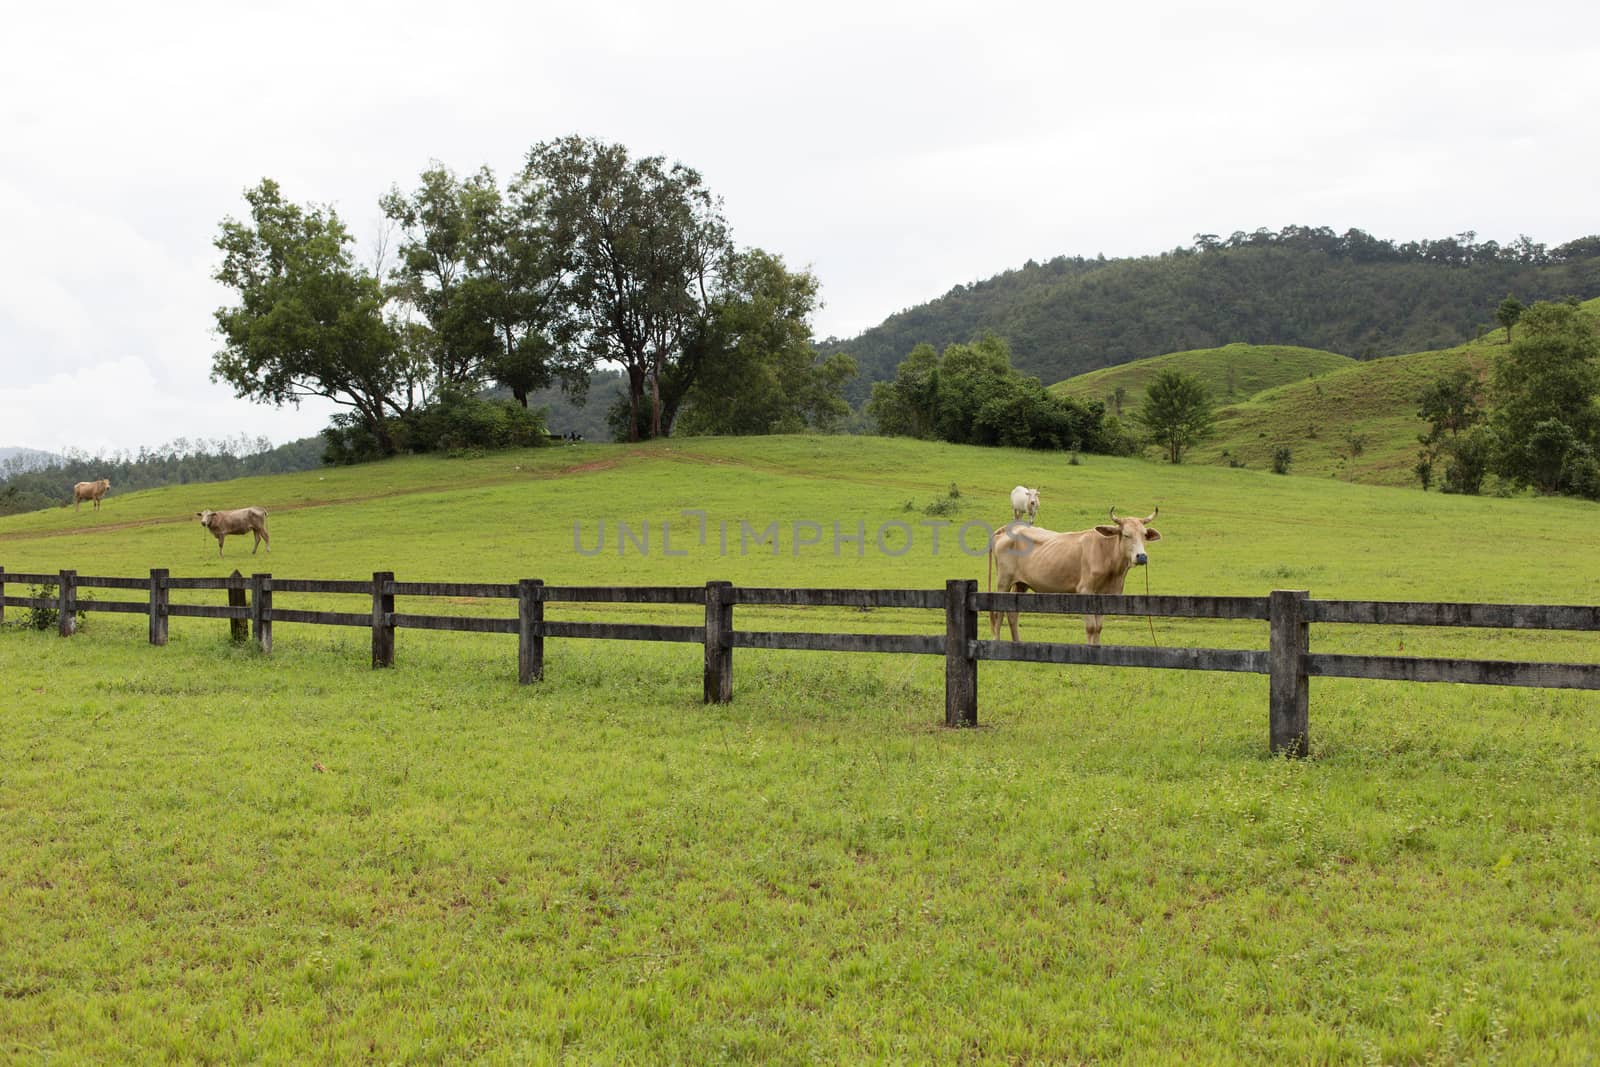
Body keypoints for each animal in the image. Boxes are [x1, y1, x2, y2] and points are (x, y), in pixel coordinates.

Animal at [985, 508, 1164, 646]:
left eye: (1144, 534)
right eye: (1126, 535)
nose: (1141, 556)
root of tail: (1007, 529)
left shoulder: (1106, 595)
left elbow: (1099, 627)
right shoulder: (1086, 591)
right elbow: (1091, 627)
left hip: (1021, 584)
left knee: (1012, 614)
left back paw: (1017, 643)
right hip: (1003, 582)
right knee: (998, 613)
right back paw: (996, 641)